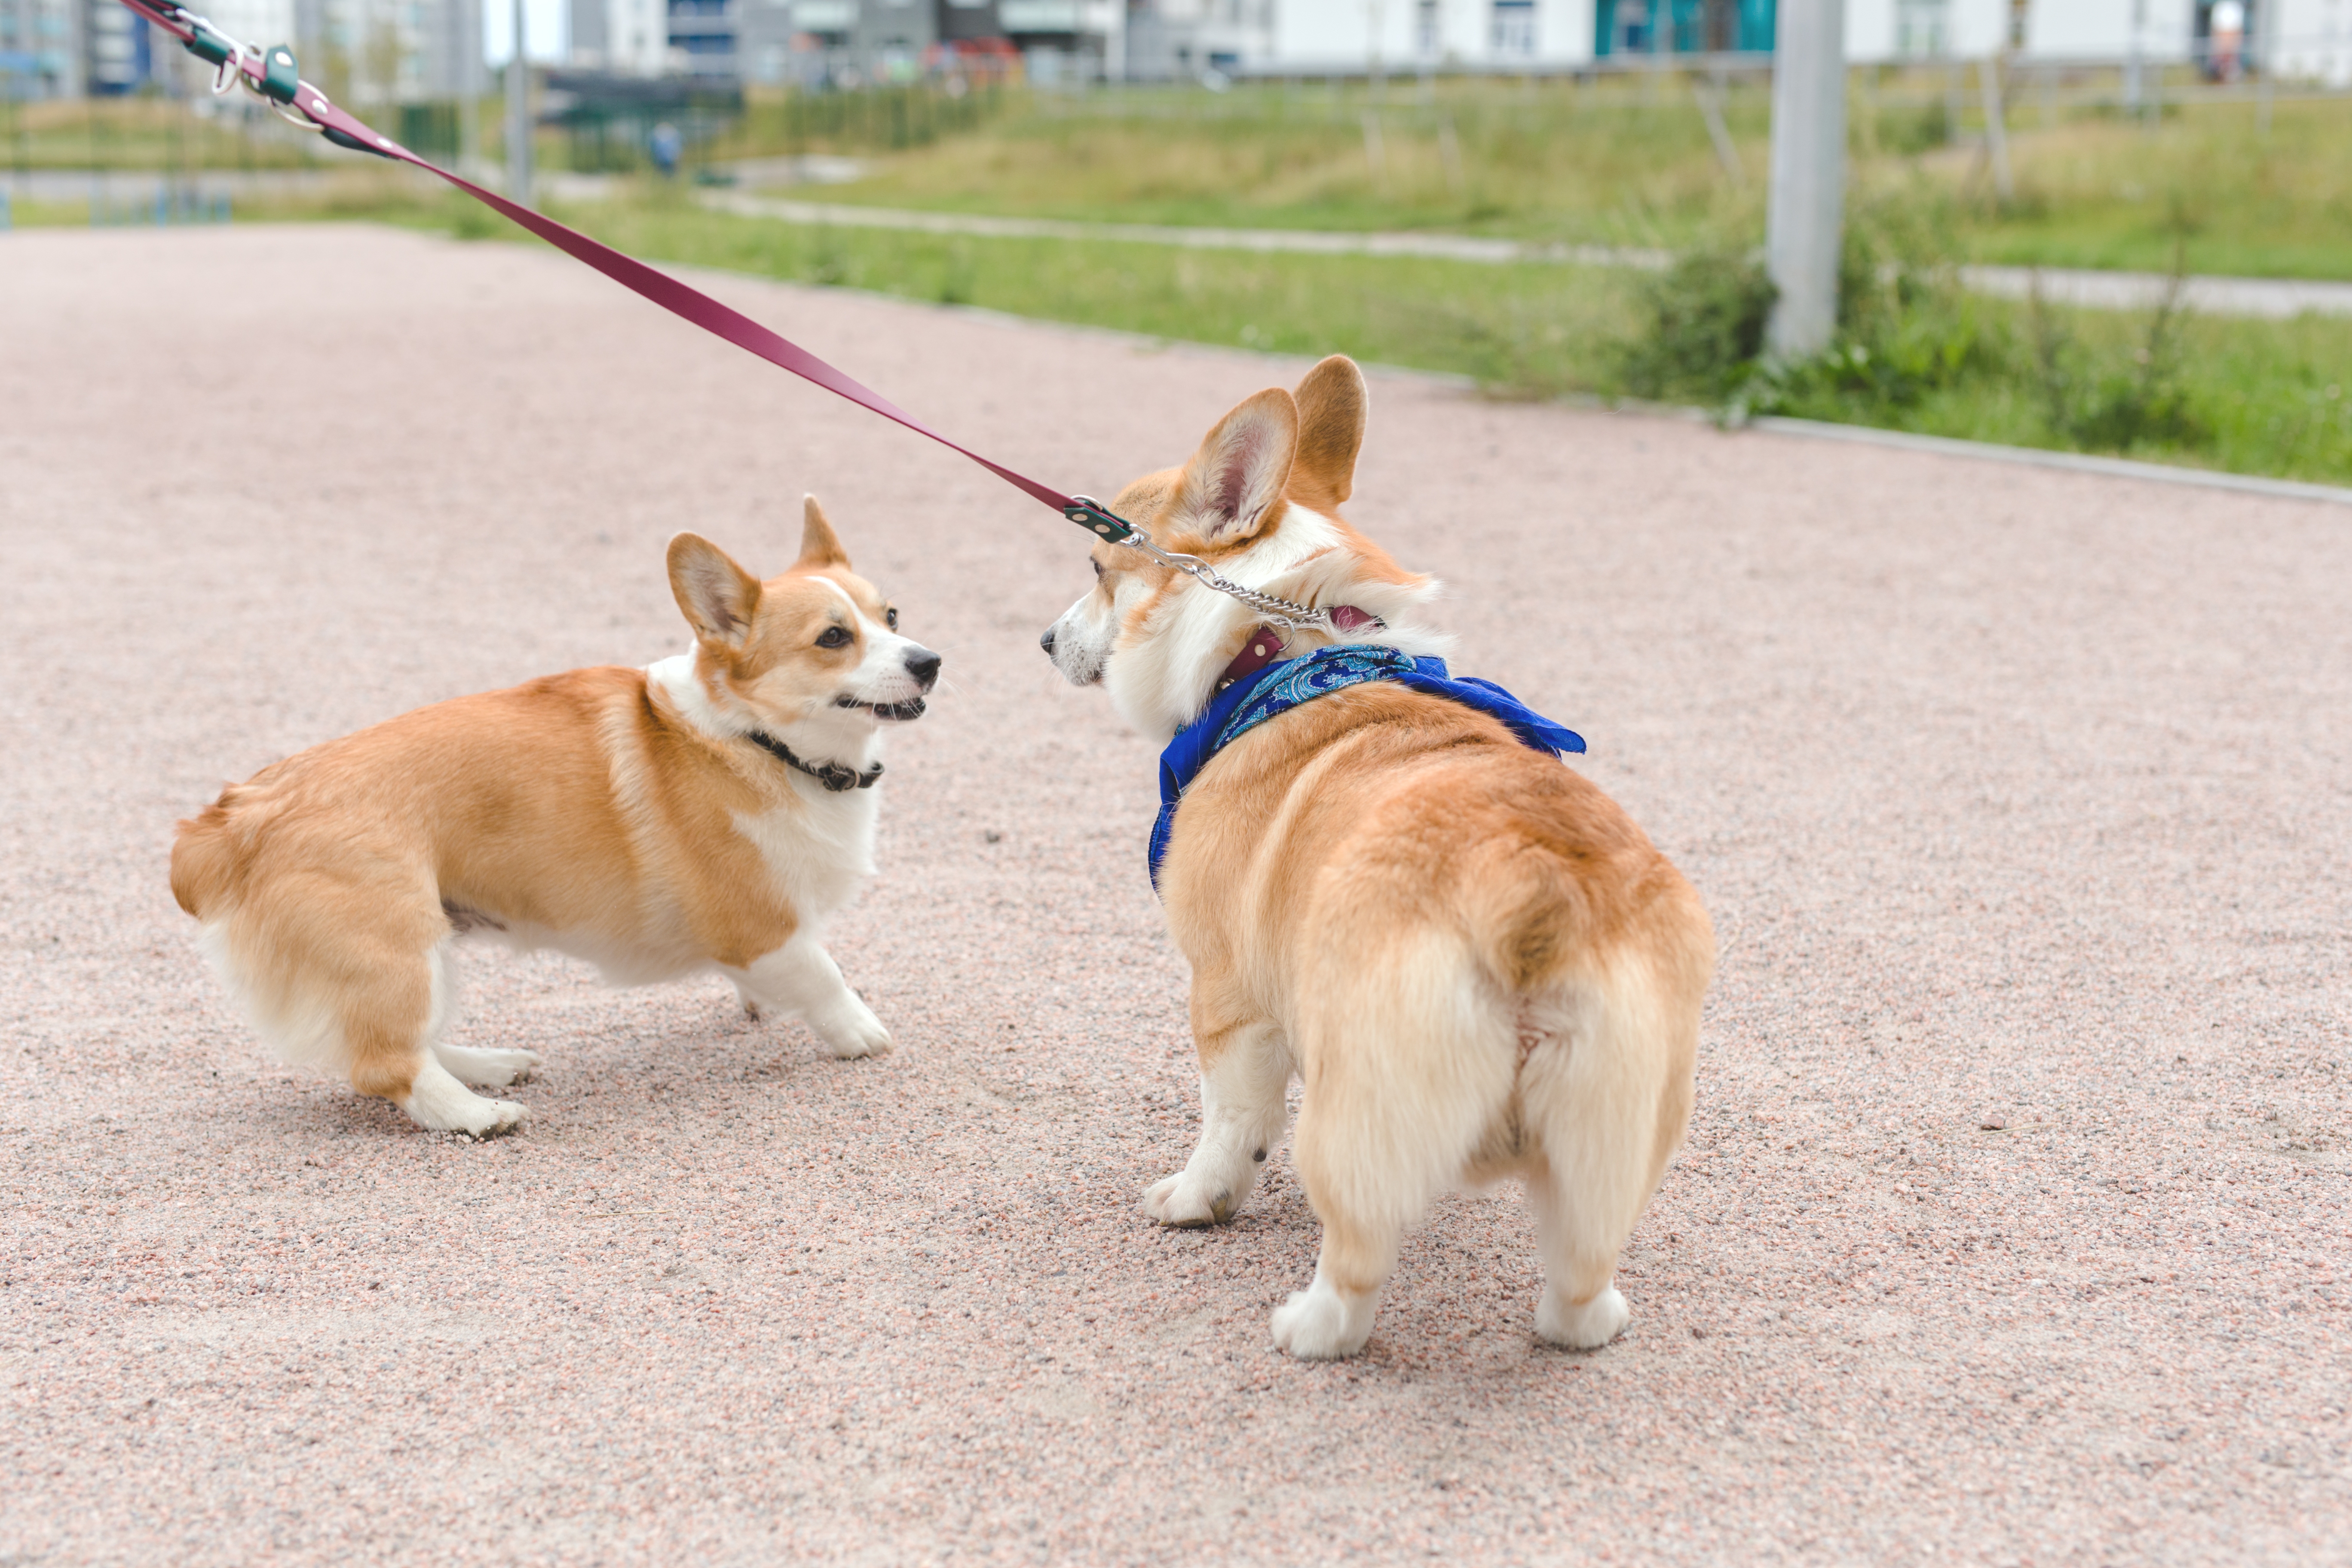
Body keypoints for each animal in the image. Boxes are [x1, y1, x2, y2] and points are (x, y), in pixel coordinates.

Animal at [170, 503, 940, 1142]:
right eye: (833, 637)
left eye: (893, 616)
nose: (931, 662)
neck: (758, 739)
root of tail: (229, 820)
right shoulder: (761, 925)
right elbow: (825, 974)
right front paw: (861, 1034)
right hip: (394, 948)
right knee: (384, 1063)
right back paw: (478, 1115)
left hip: (425, 950)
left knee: (399, 1039)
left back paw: (488, 1066)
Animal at [1049, 359, 1712, 1363]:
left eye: (1098, 570)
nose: (1047, 642)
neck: (1277, 654)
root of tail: (1536, 890)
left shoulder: (1228, 998)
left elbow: (1229, 1125)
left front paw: (1197, 1200)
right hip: (1615, 1130)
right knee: (1579, 1274)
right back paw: (1590, 1322)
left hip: (1351, 1109)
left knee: (1357, 1251)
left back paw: (1309, 1328)